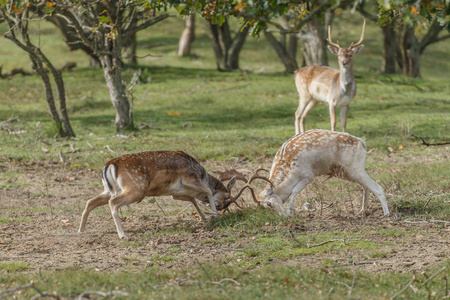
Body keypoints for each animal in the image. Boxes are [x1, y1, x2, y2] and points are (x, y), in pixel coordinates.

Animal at [78, 150, 262, 239]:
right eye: (227, 198)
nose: (219, 207)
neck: (201, 174)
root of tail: (109, 165)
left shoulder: (175, 192)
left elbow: (192, 199)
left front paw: (203, 217)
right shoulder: (188, 178)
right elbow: (208, 190)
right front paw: (213, 216)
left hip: (109, 189)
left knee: (90, 201)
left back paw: (81, 230)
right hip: (136, 189)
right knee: (113, 203)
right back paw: (123, 235)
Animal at [256, 129, 390, 216]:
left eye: (269, 203)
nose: (281, 216)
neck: (289, 165)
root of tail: (362, 143)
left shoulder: (308, 175)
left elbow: (294, 192)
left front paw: (289, 213)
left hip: (355, 168)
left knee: (377, 187)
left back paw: (386, 214)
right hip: (347, 172)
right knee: (366, 186)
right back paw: (363, 210)